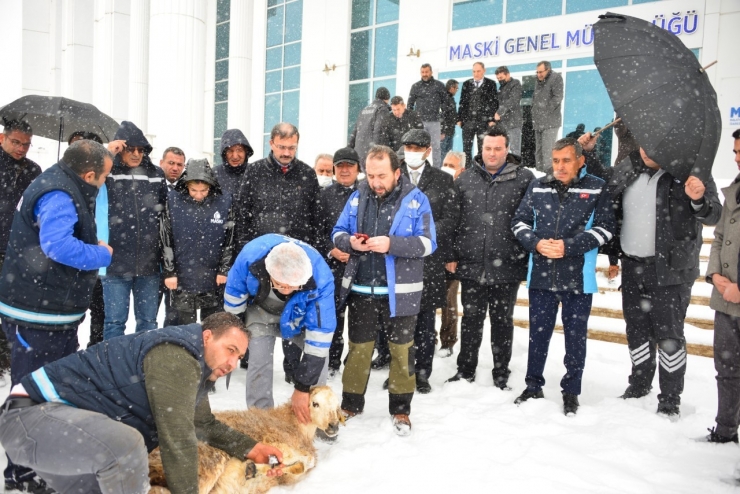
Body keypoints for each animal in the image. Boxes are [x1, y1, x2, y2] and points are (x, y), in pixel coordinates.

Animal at [151, 386, 346, 494]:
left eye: (336, 406)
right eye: (315, 403)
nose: (333, 426)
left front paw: (259, 470)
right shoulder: (273, 439)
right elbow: (305, 459)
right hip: (207, 461)